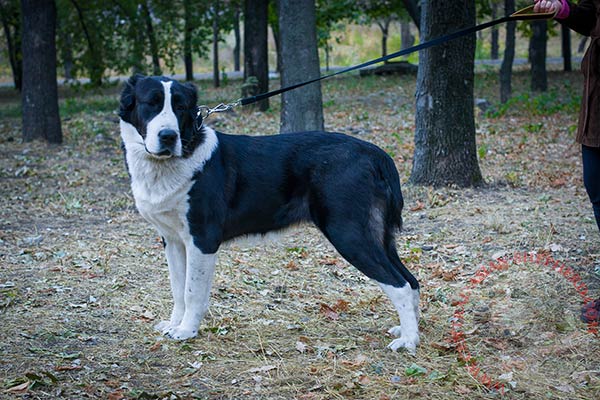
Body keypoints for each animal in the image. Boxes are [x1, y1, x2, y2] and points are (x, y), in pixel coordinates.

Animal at [116, 75, 418, 354]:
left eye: (180, 107)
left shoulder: (202, 240)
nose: (168, 136)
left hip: (349, 233)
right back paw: (409, 330)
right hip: (377, 236)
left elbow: (192, 291)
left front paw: (187, 331)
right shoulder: (173, 240)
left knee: (399, 284)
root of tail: (375, 154)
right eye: (151, 104)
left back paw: (408, 341)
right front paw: (173, 324)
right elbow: (178, 289)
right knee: (411, 279)